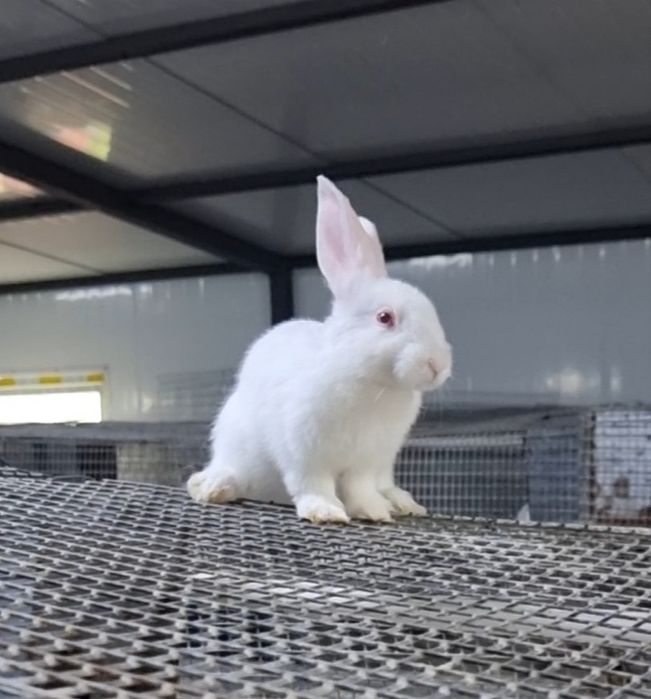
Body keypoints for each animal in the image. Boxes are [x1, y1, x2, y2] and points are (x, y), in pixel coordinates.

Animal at [187, 175, 452, 523]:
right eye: (385, 318)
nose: (438, 365)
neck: (371, 383)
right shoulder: (304, 451)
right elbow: (312, 483)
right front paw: (325, 511)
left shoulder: (365, 461)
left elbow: (360, 488)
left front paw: (373, 511)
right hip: (235, 441)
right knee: (233, 470)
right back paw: (212, 486)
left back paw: (401, 502)